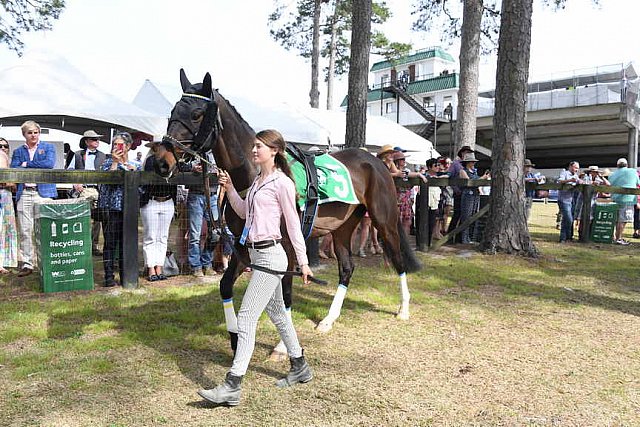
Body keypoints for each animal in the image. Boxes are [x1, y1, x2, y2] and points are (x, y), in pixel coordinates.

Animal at [152, 70, 422, 356]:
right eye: (172, 111)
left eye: (196, 114)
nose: (162, 162)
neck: (254, 175)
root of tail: (376, 160)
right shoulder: (243, 244)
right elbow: (226, 286)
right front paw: (236, 338)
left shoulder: (290, 245)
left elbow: (287, 294)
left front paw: (283, 346)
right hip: (343, 227)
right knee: (347, 268)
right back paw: (328, 320)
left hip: (384, 220)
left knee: (397, 258)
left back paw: (403, 309)